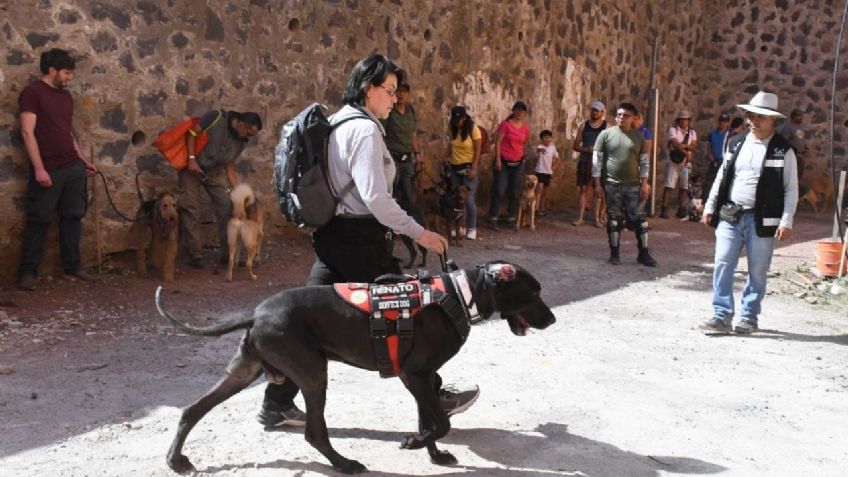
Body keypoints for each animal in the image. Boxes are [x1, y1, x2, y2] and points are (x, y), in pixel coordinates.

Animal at [156, 260, 556, 472]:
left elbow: (430, 420)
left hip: (244, 371)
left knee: (191, 411)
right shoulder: (413, 375)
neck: (458, 295)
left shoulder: (422, 377)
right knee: (314, 433)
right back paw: (344, 464)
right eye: (534, 292)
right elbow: (440, 422)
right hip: (313, 374)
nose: (552, 320)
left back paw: (175, 459)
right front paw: (415, 443)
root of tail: (256, 314)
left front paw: (434, 453)